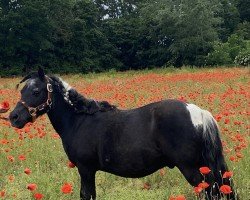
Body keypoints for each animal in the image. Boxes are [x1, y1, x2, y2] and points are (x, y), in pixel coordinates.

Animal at [9, 68, 236, 198]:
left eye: (36, 91)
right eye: (22, 90)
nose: (14, 117)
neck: (79, 120)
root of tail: (198, 112)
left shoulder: (86, 169)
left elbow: (86, 195)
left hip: (193, 169)